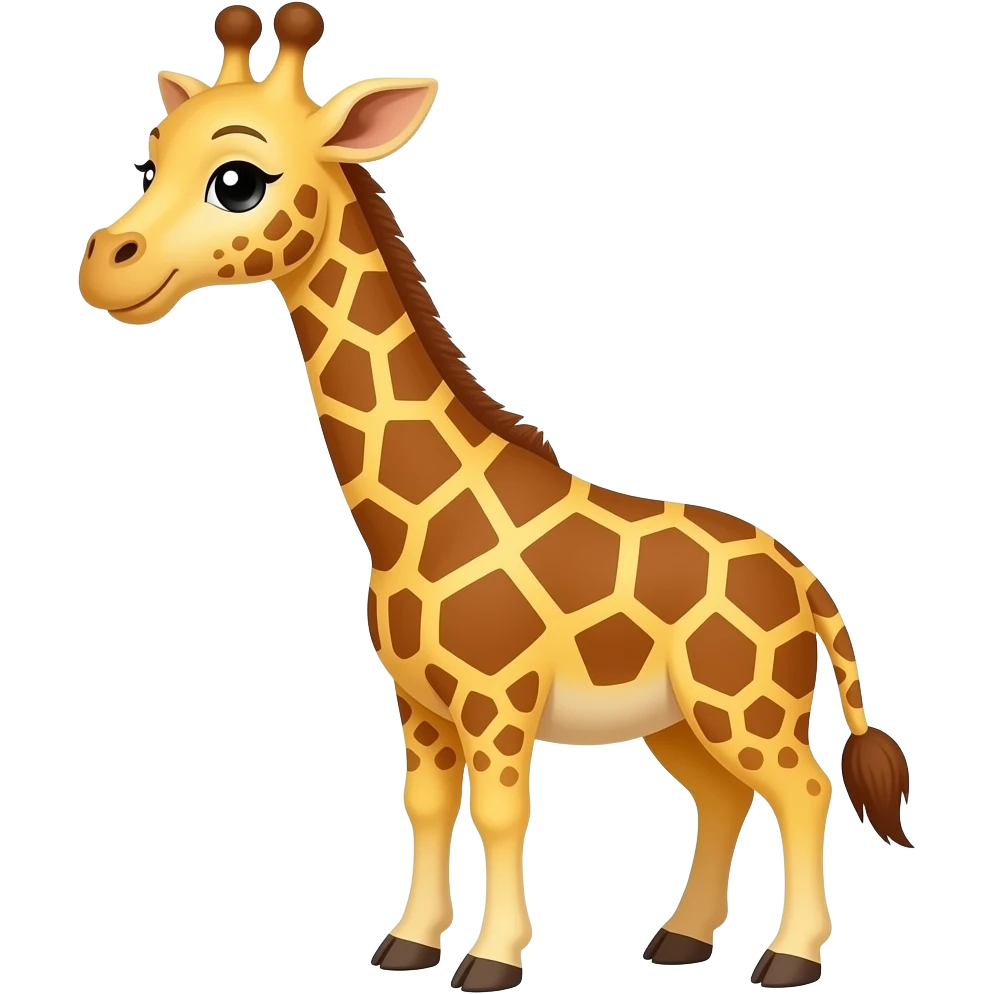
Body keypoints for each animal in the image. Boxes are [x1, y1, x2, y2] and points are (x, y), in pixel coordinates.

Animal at [76, 4, 914, 990]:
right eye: (150, 159)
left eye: (238, 180)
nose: (107, 269)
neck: (411, 519)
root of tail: (803, 576)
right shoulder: (420, 702)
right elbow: (428, 806)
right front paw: (407, 944)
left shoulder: (498, 697)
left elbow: (504, 814)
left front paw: (490, 960)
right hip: (680, 716)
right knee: (724, 796)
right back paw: (680, 940)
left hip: (745, 700)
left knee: (804, 788)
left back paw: (788, 958)